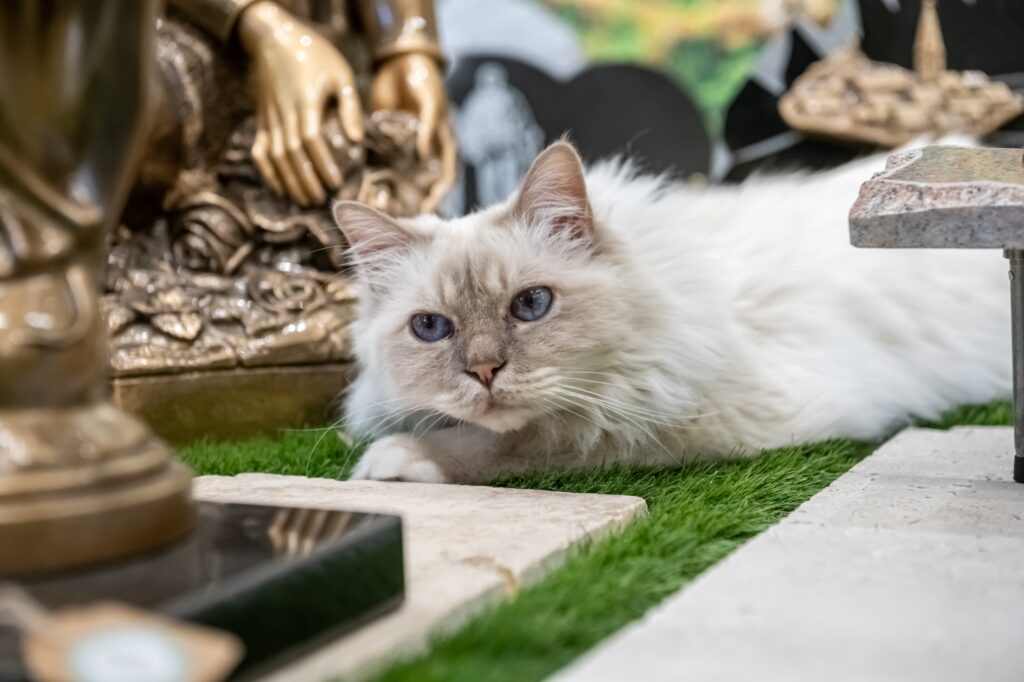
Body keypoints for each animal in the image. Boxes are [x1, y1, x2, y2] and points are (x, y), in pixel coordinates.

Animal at [333, 138, 1007, 481]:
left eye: (531, 304)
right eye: (430, 328)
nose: (483, 372)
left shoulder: (687, 417)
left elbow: (524, 444)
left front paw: (395, 463)